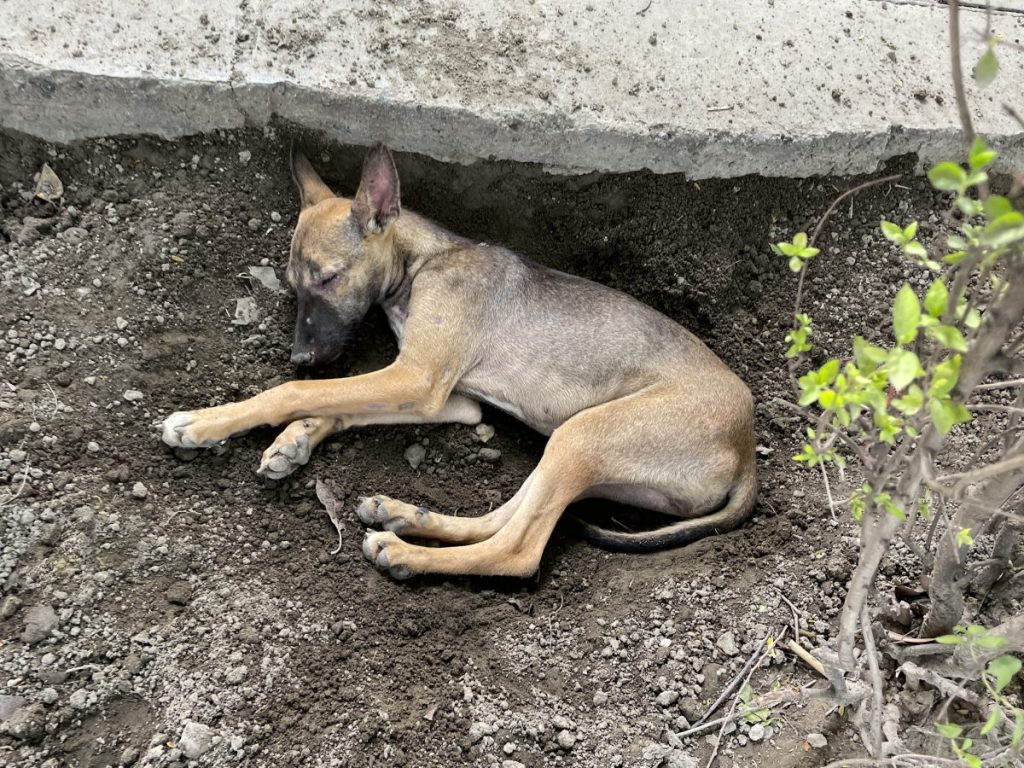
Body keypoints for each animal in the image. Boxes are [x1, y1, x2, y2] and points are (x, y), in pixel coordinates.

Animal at [157, 144, 753, 581]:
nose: (300, 356)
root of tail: (746, 447)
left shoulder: (417, 378)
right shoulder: (450, 398)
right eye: (291, 285)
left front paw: (204, 423)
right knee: (502, 518)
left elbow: (300, 392)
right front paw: (294, 441)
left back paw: (407, 553)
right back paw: (403, 514)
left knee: (517, 550)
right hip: (576, 452)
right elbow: (340, 405)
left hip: (585, 435)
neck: (425, 262)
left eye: (328, 278)